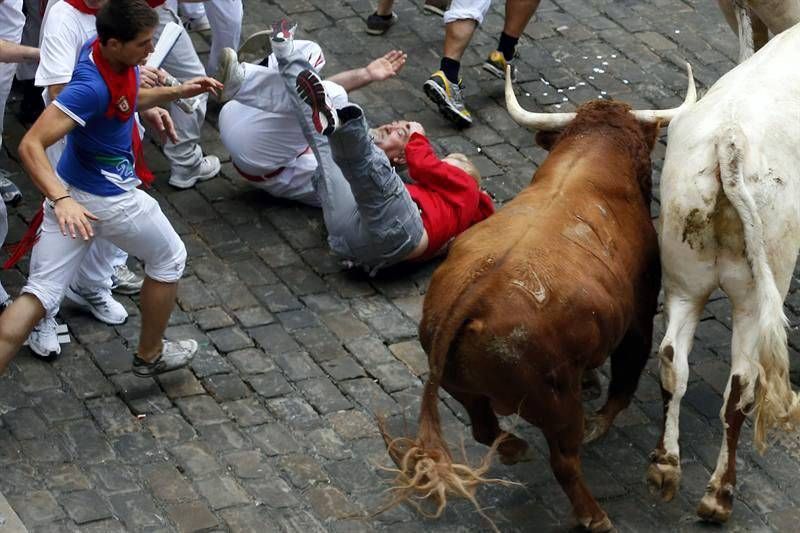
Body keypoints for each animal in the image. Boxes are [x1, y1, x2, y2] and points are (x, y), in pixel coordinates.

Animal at [378, 65, 696, 528]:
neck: (594, 155)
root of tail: (471, 301)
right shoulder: (638, 314)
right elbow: (625, 379)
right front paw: (601, 418)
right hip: (555, 404)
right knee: (564, 461)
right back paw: (593, 515)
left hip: (464, 389)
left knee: (483, 429)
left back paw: (515, 449)